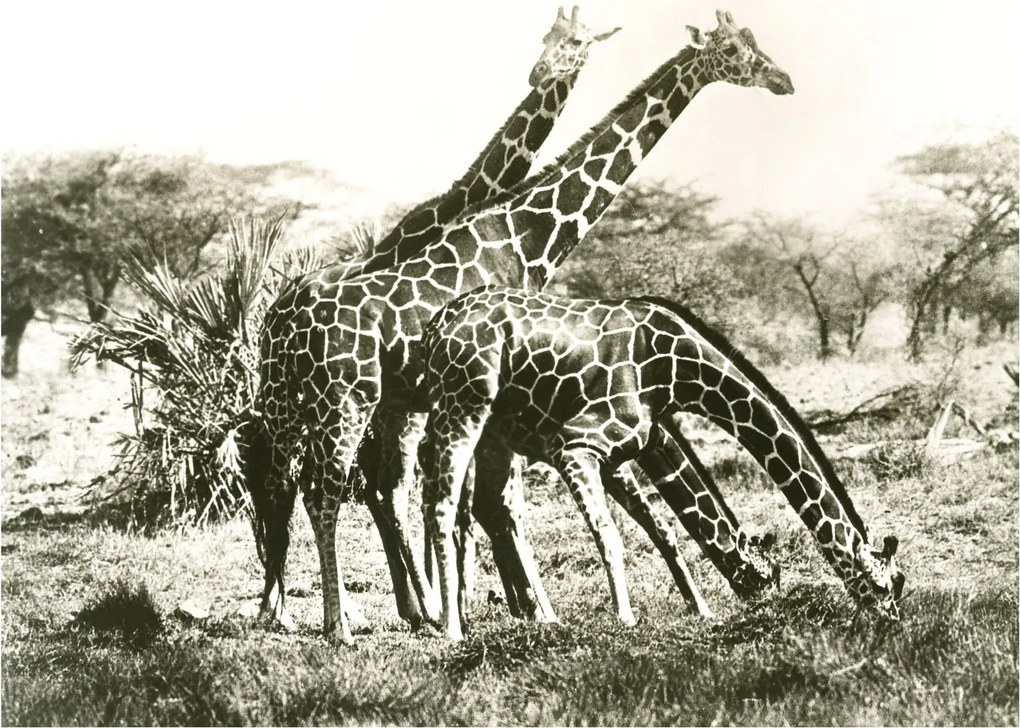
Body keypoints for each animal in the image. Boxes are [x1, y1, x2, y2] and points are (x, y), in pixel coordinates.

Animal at [252, 9, 794, 644]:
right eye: (736, 50)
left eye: (753, 45)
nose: (783, 80)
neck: (523, 234)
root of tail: (284, 319)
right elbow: (494, 504)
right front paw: (525, 610)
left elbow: (479, 504)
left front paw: (494, 606)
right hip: (348, 401)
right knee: (328, 491)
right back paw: (343, 621)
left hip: (301, 402)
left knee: (297, 485)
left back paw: (298, 610)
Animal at [419, 286, 905, 640]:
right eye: (885, 585)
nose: (894, 624)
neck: (677, 372)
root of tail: (436, 326)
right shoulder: (576, 446)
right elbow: (611, 535)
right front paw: (626, 619)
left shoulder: (622, 452)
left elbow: (664, 530)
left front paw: (701, 609)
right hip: (464, 405)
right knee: (444, 505)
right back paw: (453, 628)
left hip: (486, 430)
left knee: (481, 508)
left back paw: (525, 617)